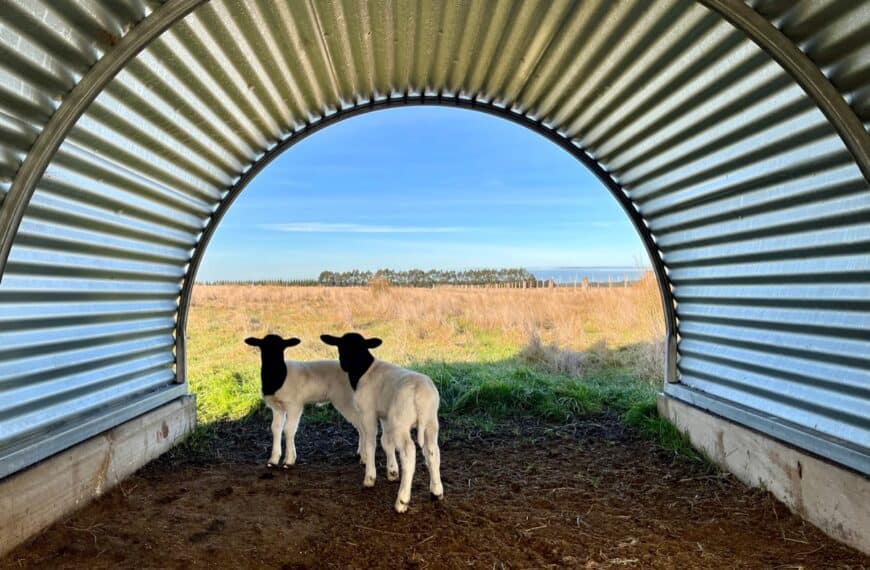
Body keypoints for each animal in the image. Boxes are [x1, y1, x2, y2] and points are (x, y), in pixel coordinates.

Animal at [245, 332, 364, 466]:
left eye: (281, 347)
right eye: (263, 347)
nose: (273, 363)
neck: (278, 376)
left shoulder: (294, 405)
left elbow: (289, 429)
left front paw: (289, 460)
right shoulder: (277, 407)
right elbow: (275, 428)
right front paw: (273, 460)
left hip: (345, 400)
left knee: (361, 423)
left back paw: (364, 458)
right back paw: (360, 453)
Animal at [322, 328, 446, 510]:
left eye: (358, 348)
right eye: (341, 346)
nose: (343, 363)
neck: (364, 370)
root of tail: (420, 393)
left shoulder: (368, 412)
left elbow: (371, 442)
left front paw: (370, 476)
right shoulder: (385, 416)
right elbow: (386, 442)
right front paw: (392, 471)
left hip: (401, 422)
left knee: (409, 452)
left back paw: (402, 501)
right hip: (431, 421)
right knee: (432, 451)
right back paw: (436, 492)